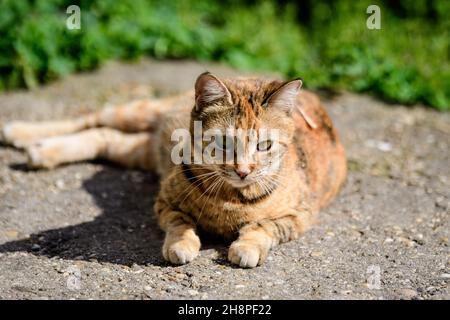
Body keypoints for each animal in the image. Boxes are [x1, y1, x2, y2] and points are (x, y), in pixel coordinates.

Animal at [0, 72, 346, 268]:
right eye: (223, 142)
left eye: (264, 145)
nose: (244, 170)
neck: (230, 199)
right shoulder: (164, 201)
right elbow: (180, 222)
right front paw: (181, 243)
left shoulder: (299, 216)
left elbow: (265, 227)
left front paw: (247, 246)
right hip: (138, 112)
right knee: (90, 118)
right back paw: (23, 133)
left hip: (138, 150)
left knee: (102, 136)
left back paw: (41, 150)